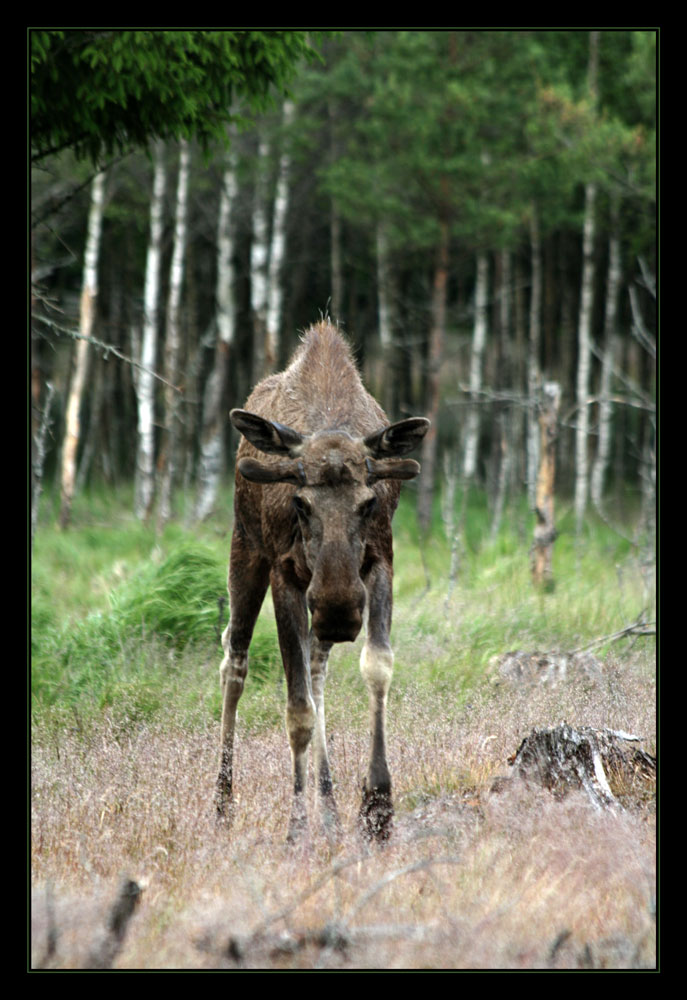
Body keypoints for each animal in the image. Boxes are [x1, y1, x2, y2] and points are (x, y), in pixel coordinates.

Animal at [216, 324, 430, 840]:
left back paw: (329, 809)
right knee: (235, 659)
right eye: (300, 502)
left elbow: (377, 666)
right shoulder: (285, 574)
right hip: (245, 550)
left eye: (369, 503)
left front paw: (377, 805)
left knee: (316, 673)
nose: (337, 610)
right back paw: (223, 804)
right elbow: (296, 710)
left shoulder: (380, 562)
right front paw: (296, 829)